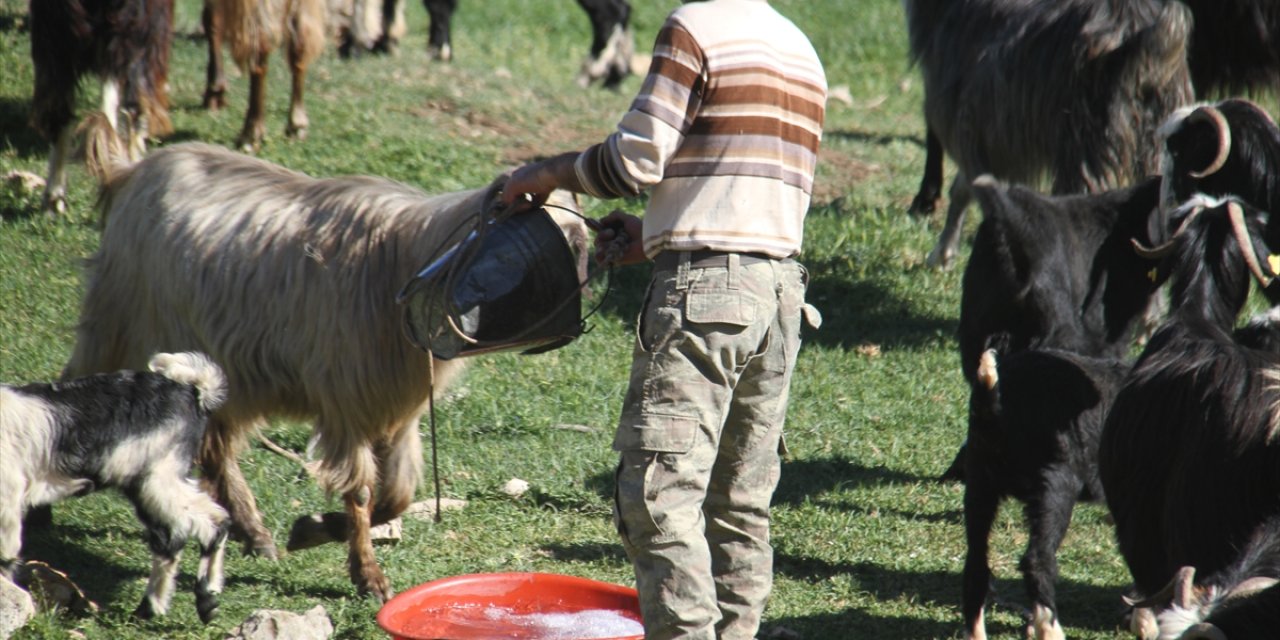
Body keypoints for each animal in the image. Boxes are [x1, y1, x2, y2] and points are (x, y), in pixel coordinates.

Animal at [1, 353, 230, 622]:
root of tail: (192, 391)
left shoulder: (8, 497)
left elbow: (5, 556)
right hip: (162, 477)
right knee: (173, 537)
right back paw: (155, 608)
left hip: (156, 477)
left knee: (205, 524)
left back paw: (204, 601)